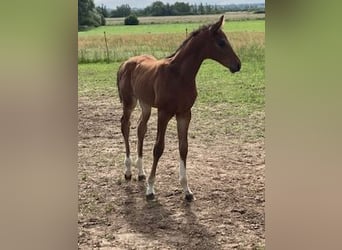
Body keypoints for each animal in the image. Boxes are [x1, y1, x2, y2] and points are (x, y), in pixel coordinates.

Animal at [117, 15, 240, 201]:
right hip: (129, 102)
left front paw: (187, 190)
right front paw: (150, 189)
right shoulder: (164, 113)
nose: (238, 65)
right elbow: (158, 148)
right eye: (221, 43)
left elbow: (184, 148)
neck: (179, 75)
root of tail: (124, 64)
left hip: (145, 104)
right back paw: (128, 171)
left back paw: (141, 173)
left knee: (140, 128)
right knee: (125, 125)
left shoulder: (184, 113)